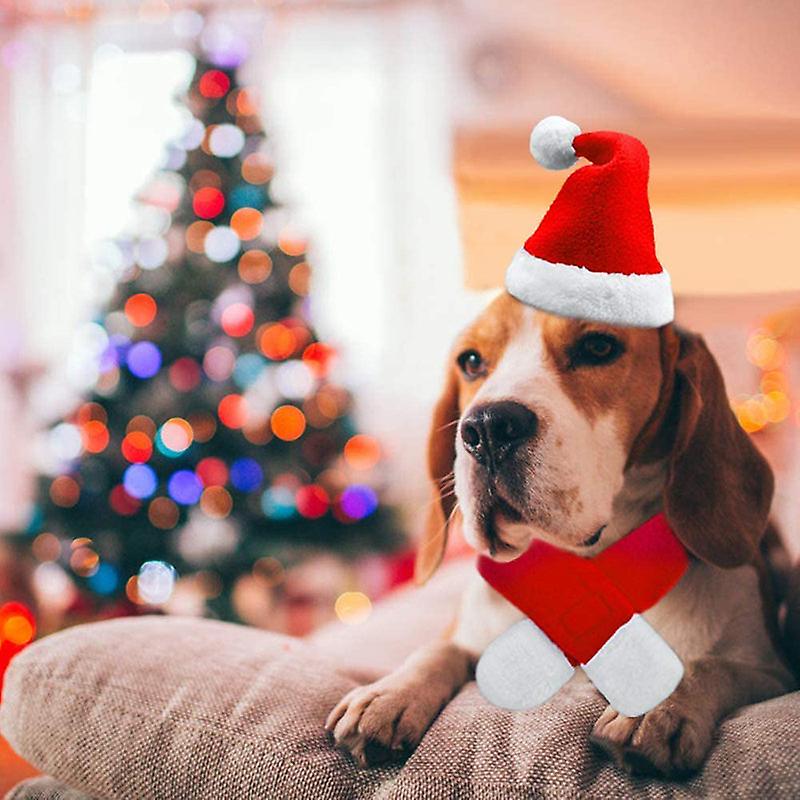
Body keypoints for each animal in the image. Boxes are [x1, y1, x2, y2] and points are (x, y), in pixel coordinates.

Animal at [324, 292, 792, 776]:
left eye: (598, 347)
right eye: (471, 361)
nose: (487, 427)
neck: (585, 567)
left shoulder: (772, 671)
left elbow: (711, 665)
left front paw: (660, 705)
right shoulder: (468, 634)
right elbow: (436, 651)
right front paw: (389, 693)